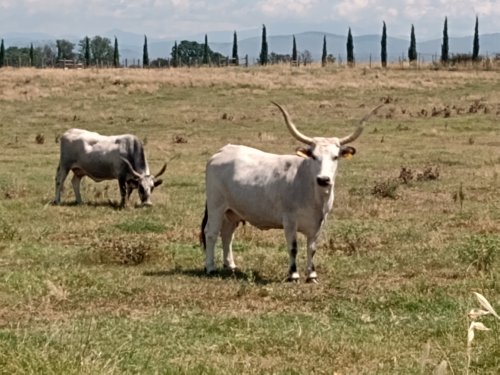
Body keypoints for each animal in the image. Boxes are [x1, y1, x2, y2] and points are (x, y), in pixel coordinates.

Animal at [201, 103, 380, 282]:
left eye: (336, 157)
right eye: (313, 156)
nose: (323, 179)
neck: (313, 193)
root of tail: (223, 151)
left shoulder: (319, 223)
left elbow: (312, 248)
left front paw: (312, 275)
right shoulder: (289, 221)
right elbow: (293, 247)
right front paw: (293, 274)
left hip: (232, 211)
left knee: (227, 234)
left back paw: (230, 265)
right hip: (216, 206)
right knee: (211, 233)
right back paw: (210, 267)